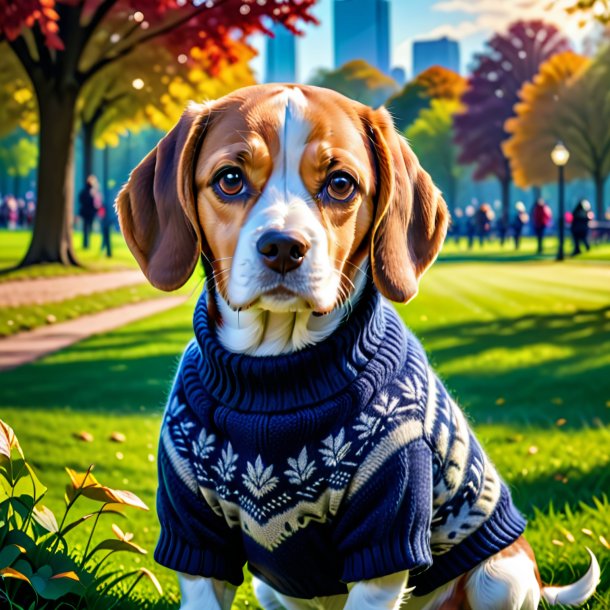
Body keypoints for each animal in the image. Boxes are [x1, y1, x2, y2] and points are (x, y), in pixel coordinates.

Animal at [115, 84, 600, 608]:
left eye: (341, 184)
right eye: (229, 179)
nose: (283, 247)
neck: (278, 374)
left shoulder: (388, 534)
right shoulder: (195, 538)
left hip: (500, 577)